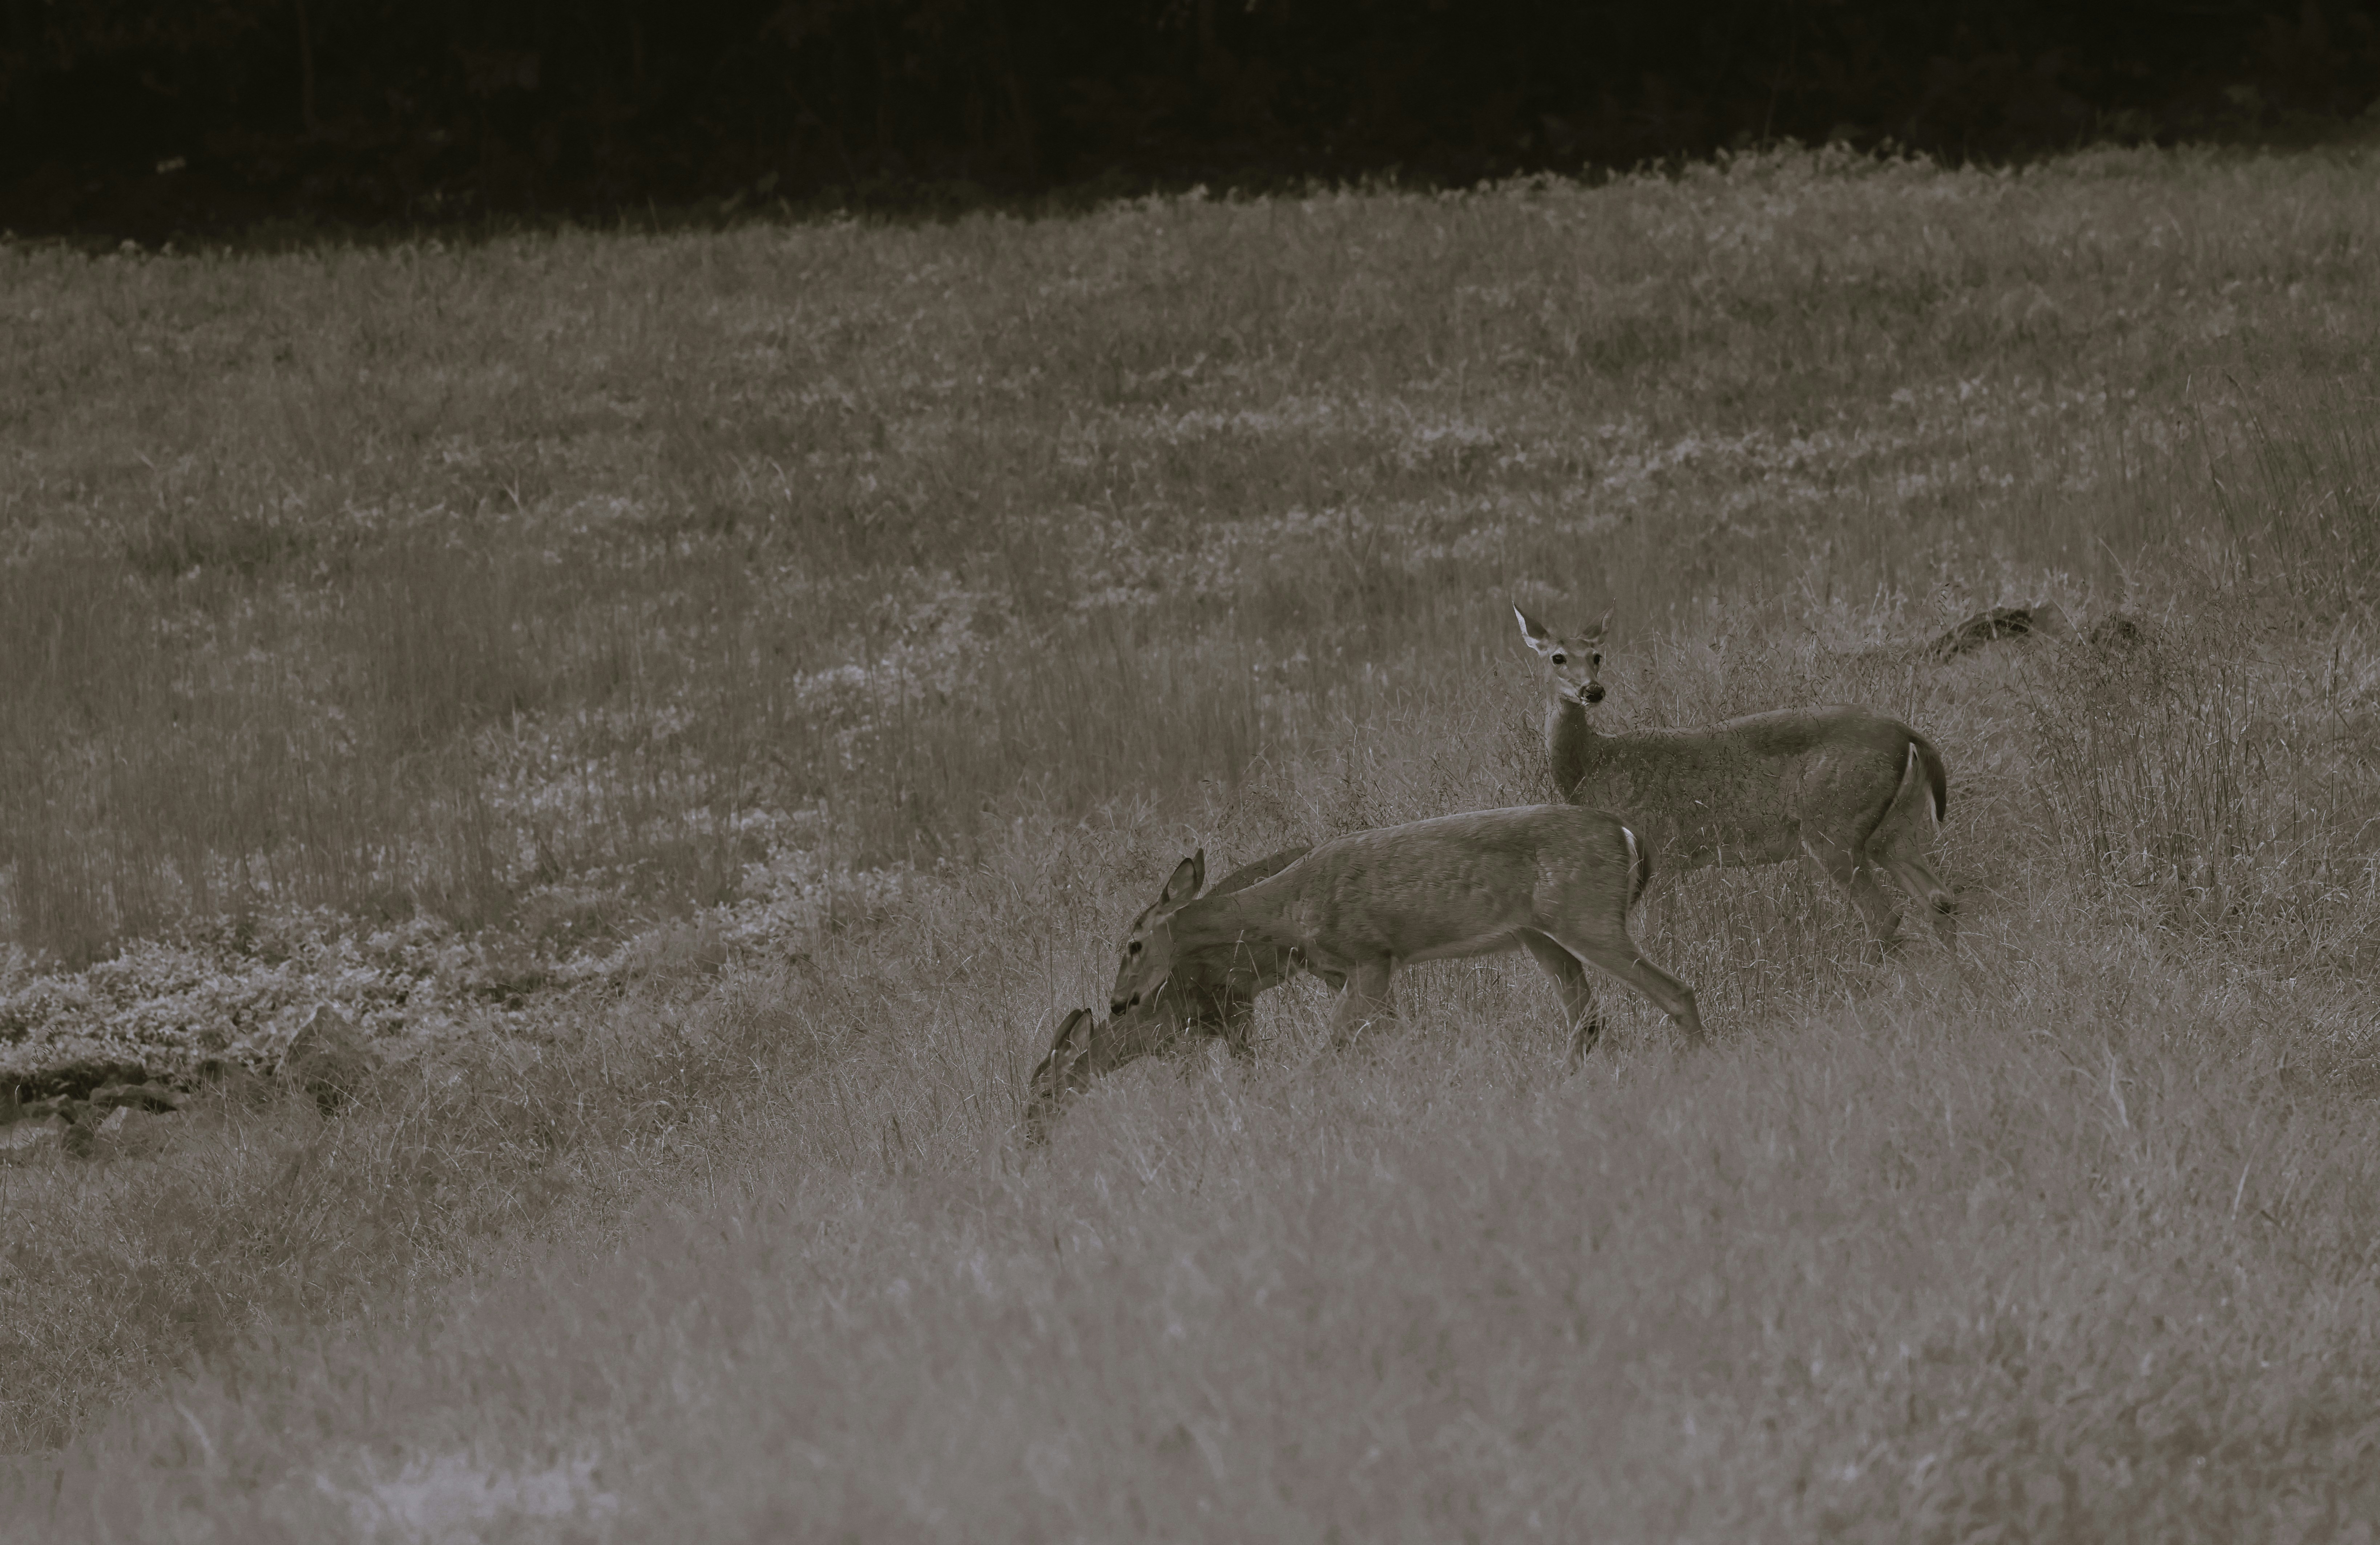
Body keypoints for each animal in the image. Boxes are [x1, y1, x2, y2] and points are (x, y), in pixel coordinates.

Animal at [1512, 604, 1956, 957]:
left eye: (1597, 655)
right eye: (1557, 657)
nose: (1593, 690)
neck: (1594, 766)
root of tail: (1908, 734)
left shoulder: (1659, 844)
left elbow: (1659, 936)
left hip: (1834, 825)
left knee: (1887, 913)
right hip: (1893, 829)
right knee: (1939, 898)